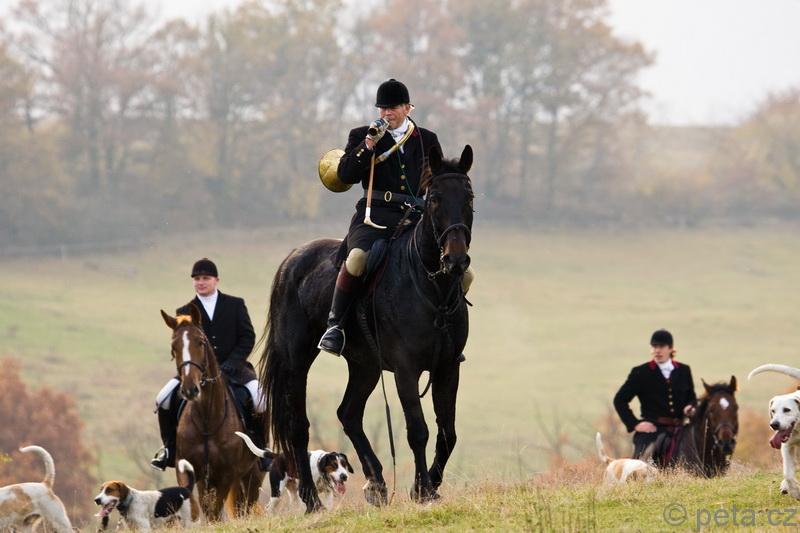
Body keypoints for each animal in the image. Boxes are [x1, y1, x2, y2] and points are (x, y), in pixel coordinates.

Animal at [160, 305, 264, 520]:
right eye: (174, 347)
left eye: (200, 342)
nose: (190, 389)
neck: (207, 418)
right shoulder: (188, 470)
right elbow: (197, 504)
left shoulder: (225, 474)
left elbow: (214, 511)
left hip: (252, 474)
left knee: (246, 506)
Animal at [258, 145, 474, 512]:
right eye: (435, 199)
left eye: (469, 197)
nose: (456, 260)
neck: (432, 288)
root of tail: (293, 259)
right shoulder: (406, 370)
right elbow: (418, 430)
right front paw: (423, 489)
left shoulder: (447, 368)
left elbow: (448, 433)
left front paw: (428, 486)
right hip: (296, 361)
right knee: (299, 426)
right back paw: (312, 500)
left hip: (365, 366)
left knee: (348, 413)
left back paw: (376, 484)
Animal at [749, 363, 800, 498]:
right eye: (773, 410)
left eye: (787, 410)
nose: (774, 425)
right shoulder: (787, 446)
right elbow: (787, 473)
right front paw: (795, 491)